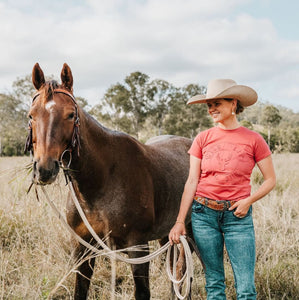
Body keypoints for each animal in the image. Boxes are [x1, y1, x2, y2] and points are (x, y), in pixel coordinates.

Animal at [26, 63, 195, 300]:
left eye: (70, 115)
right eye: (31, 115)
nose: (44, 169)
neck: (102, 181)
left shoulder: (138, 247)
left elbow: (142, 292)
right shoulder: (83, 247)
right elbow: (80, 290)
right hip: (168, 235)